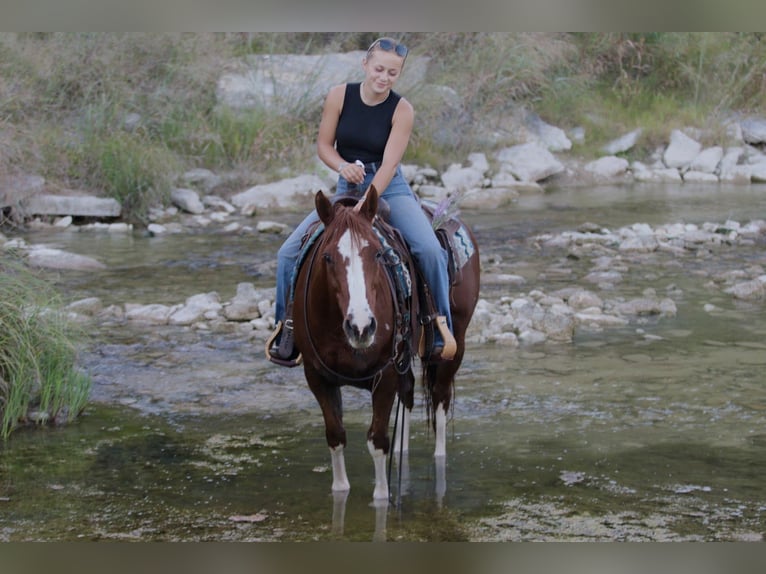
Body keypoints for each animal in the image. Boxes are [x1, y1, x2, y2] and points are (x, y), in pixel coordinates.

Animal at [291, 187, 480, 502]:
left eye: (378, 253)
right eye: (327, 257)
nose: (361, 327)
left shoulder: (386, 374)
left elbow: (378, 441)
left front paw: (382, 498)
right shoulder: (317, 377)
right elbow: (336, 435)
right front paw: (340, 491)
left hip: (453, 347)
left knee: (440, 399)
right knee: (408, 393)